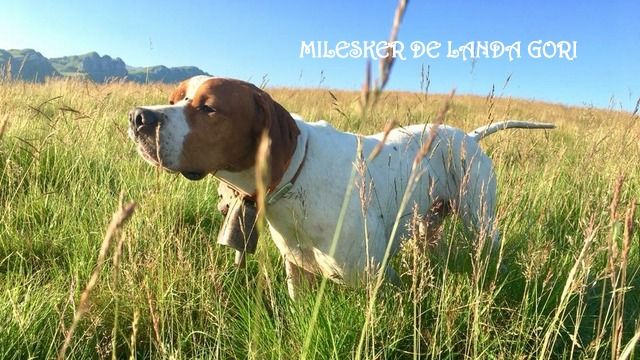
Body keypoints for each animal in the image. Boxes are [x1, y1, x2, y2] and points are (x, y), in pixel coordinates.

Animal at [127, 76, 552, 298]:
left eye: (208, 108)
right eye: (173, 99)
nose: (137, 117)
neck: (295, 176)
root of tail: (469, 136)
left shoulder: (374, 281)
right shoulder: (297, 272)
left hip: (480, 219)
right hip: (425, 225)